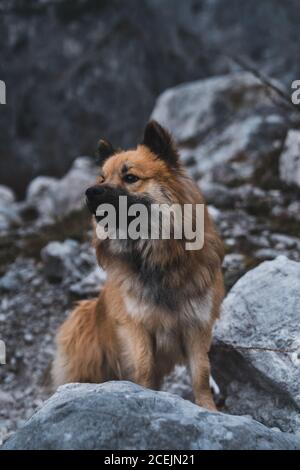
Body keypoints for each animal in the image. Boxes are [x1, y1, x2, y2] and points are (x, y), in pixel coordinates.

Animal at [52, 119, 224, 410]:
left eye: (130, 177)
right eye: (102, 178)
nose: (90, 192)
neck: (156, 257)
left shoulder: (196, 326)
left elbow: (201, 375)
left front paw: (209, 410)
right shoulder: (136, 328)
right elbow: (144, 370)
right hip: (81, 320)